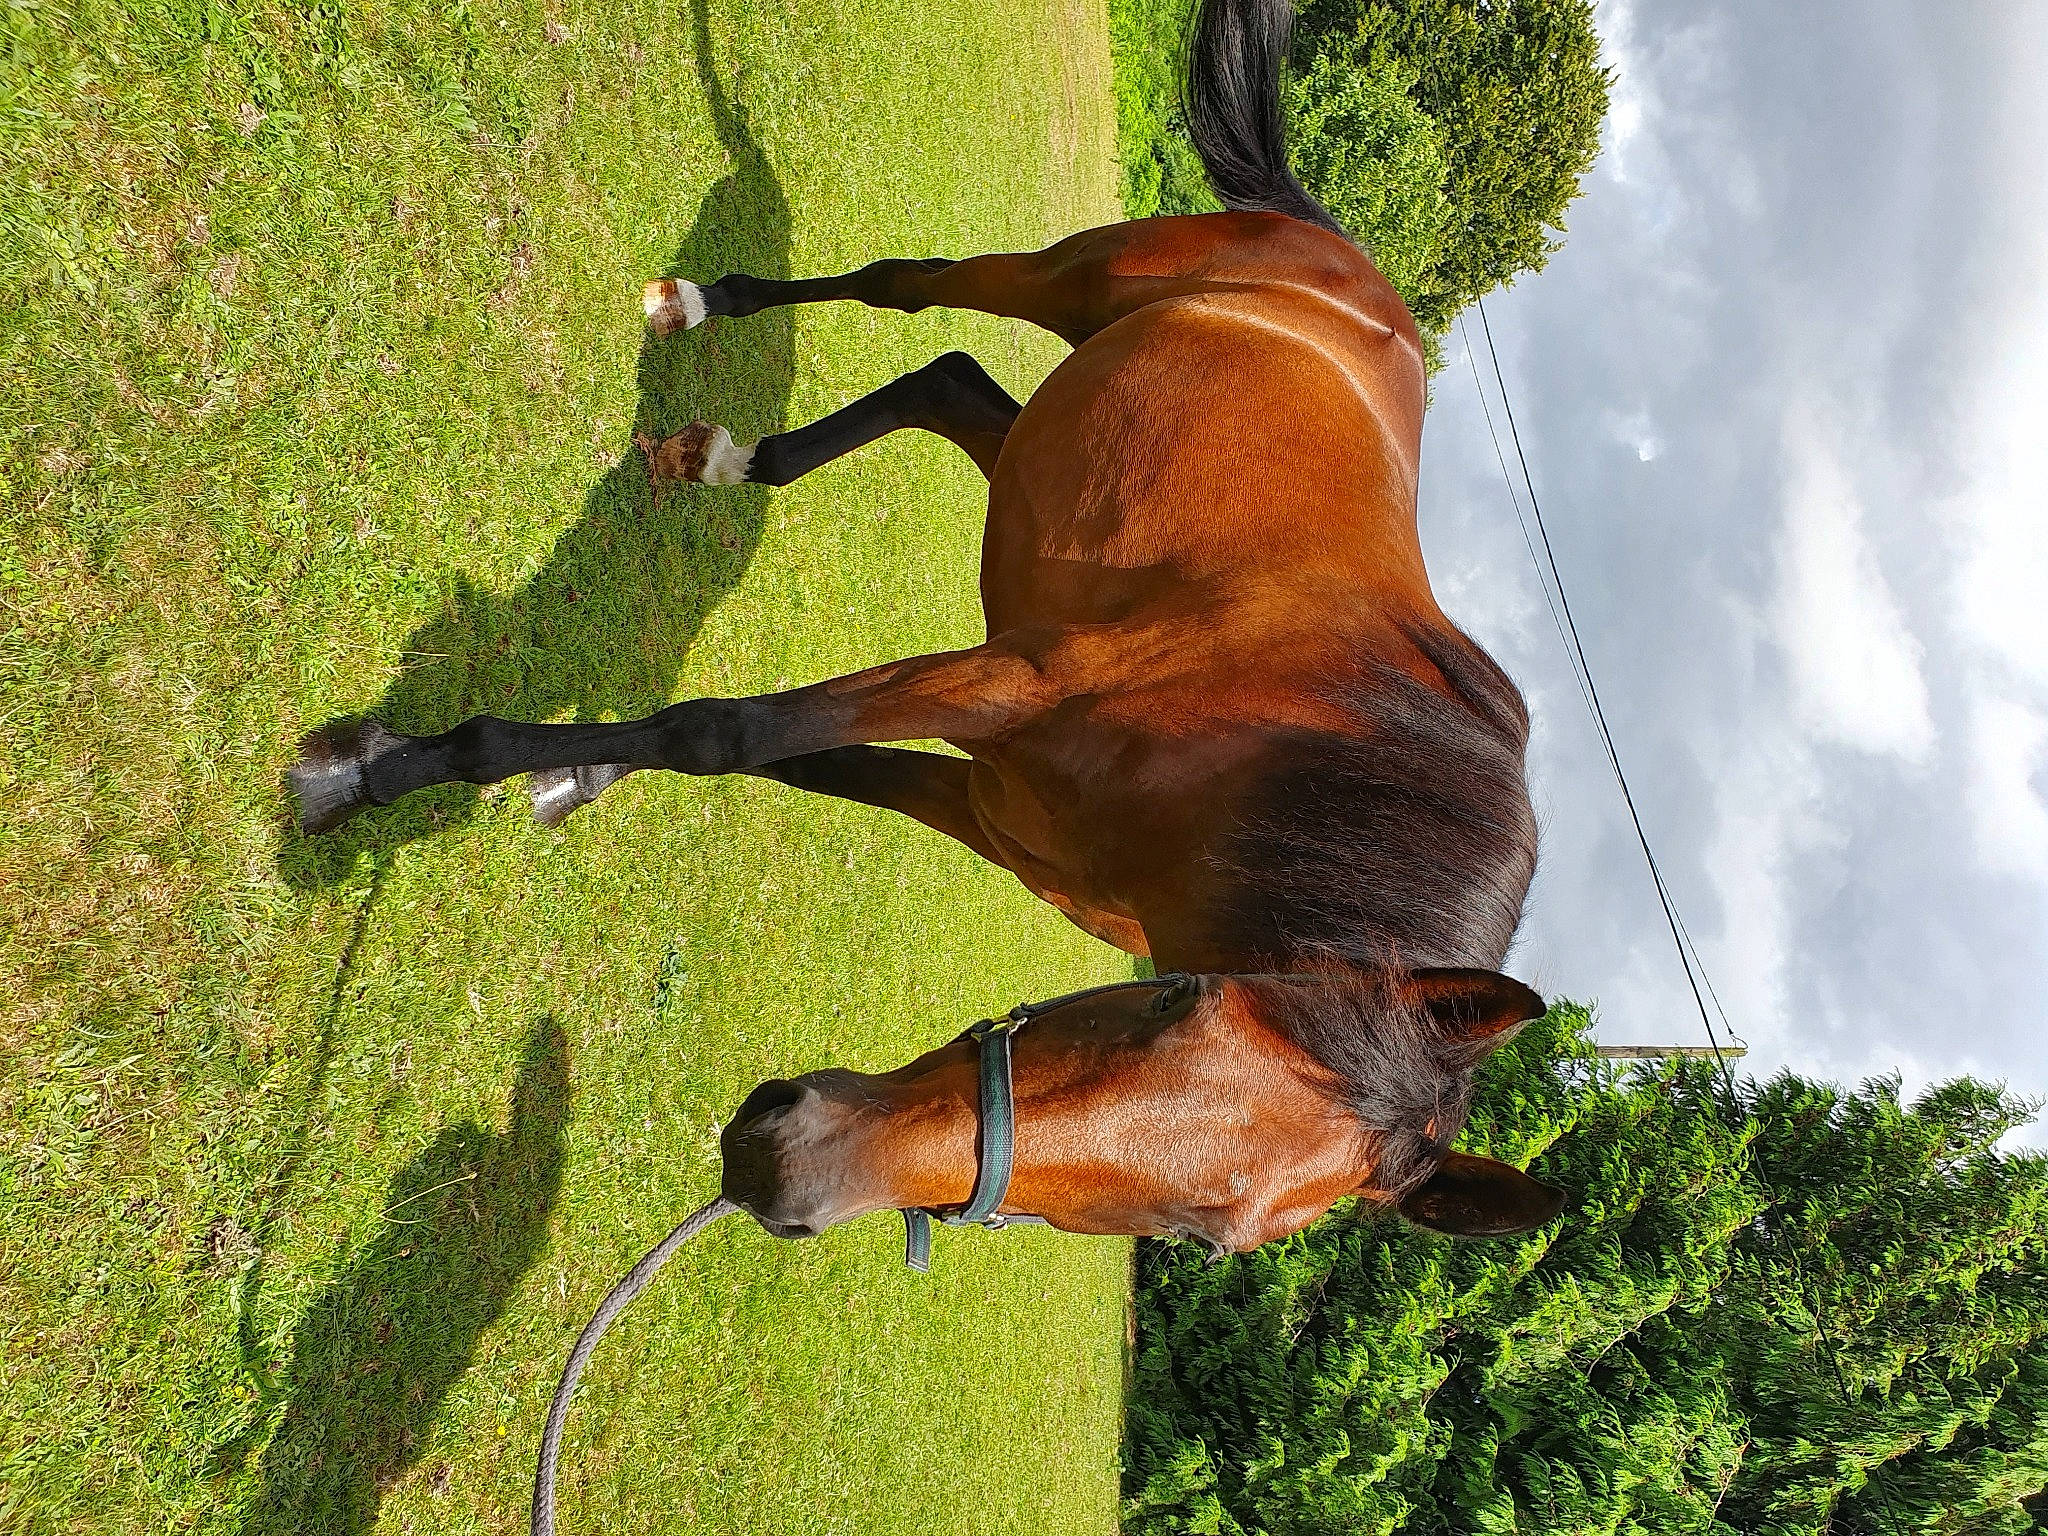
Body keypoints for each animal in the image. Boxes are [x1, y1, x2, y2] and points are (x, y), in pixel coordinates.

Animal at [289, 0, 1566, 1260]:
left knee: (943, 380)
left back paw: (724, 456)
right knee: (911, 287)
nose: (782, 1165)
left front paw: (572, 770)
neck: (1278, 760)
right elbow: (725, 733)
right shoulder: (1006, 681)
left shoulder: (984, 805)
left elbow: (806, 760)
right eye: (1173, 1000)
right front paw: (381, 768)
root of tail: (1349, 267)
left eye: (1202, 1243)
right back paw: (700, 305)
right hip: (1073, 279)